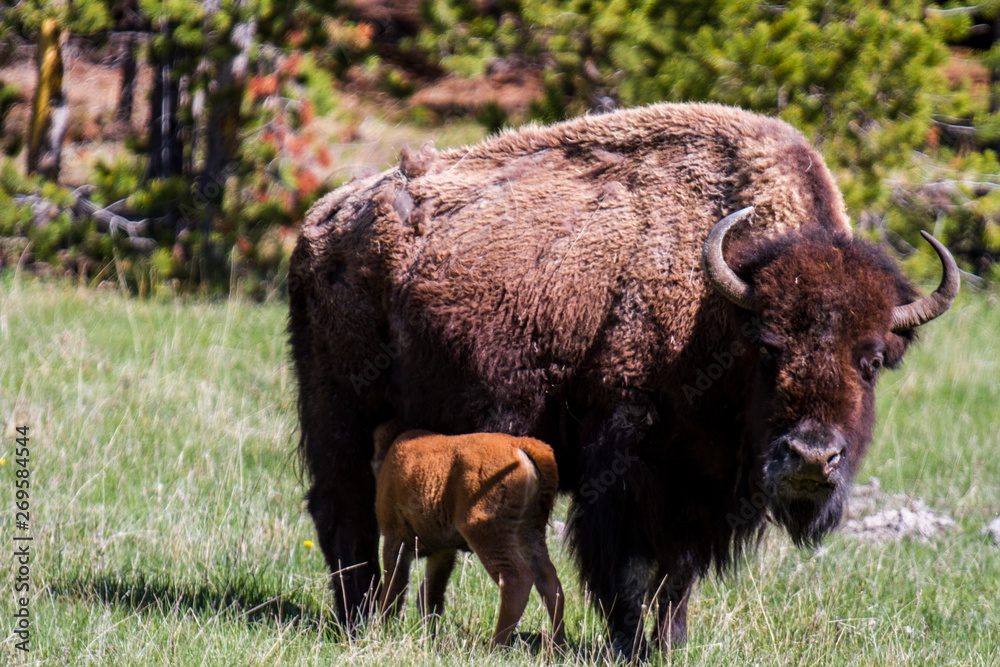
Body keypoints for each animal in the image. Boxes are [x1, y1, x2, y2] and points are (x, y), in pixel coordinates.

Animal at [372, 426, 568, 648]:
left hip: (486, 533)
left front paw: (381, 631)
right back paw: (558, 645)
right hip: (530, 532)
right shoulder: (442, 552)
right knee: (549, 582)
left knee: (517, 580)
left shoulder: (395, 539)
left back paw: (495, 646)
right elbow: (429, 595)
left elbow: (393, 590)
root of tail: (522, 445)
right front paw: (429, 637)